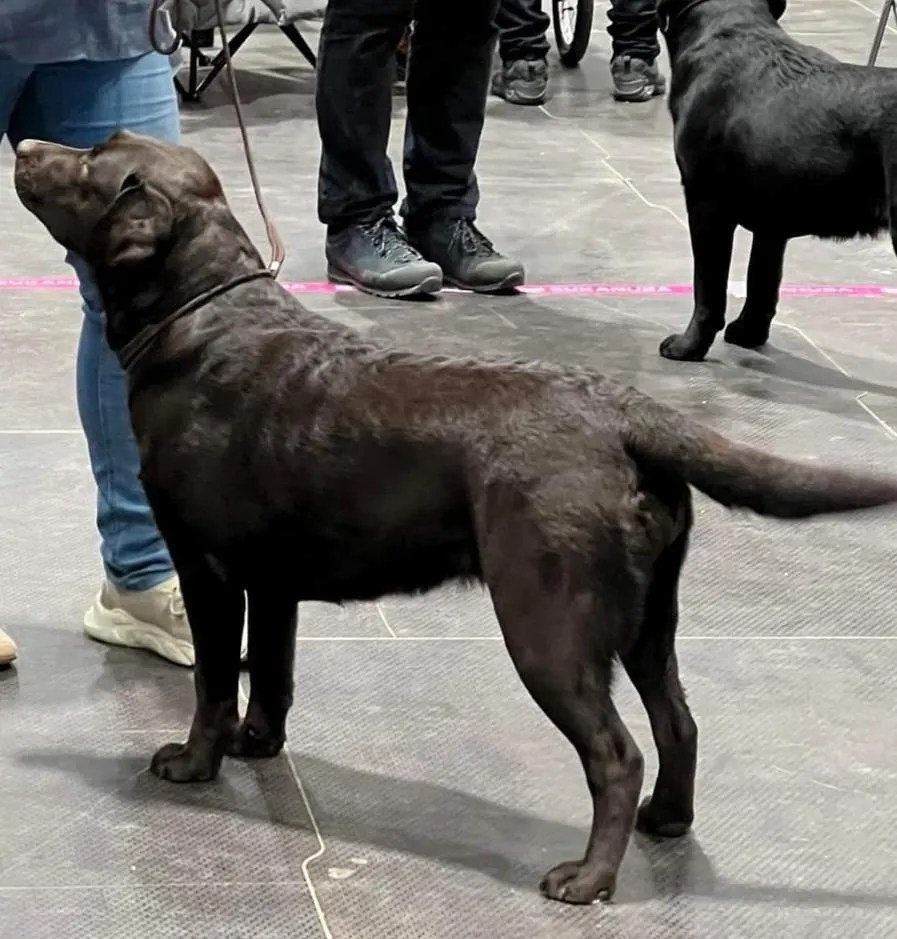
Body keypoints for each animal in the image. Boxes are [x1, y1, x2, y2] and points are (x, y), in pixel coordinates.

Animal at [14, 131, 897, 905]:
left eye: (90, 160)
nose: (22, 144)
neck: (203, 318)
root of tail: (623, 409)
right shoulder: (273, 581)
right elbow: (270, 670)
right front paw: (256, 744)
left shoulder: (207, 565)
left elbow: (212, 678)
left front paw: (195, 760)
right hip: (650, 615)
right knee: (678, 722)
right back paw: (666, 822)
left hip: (548, 622)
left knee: (617, 753)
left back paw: (585, 878)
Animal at [657, 0, 897, 361]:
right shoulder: (773, 218)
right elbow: (762, 278)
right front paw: (749, 332)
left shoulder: (706, 202)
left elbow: (708, 287)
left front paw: (689, 346)